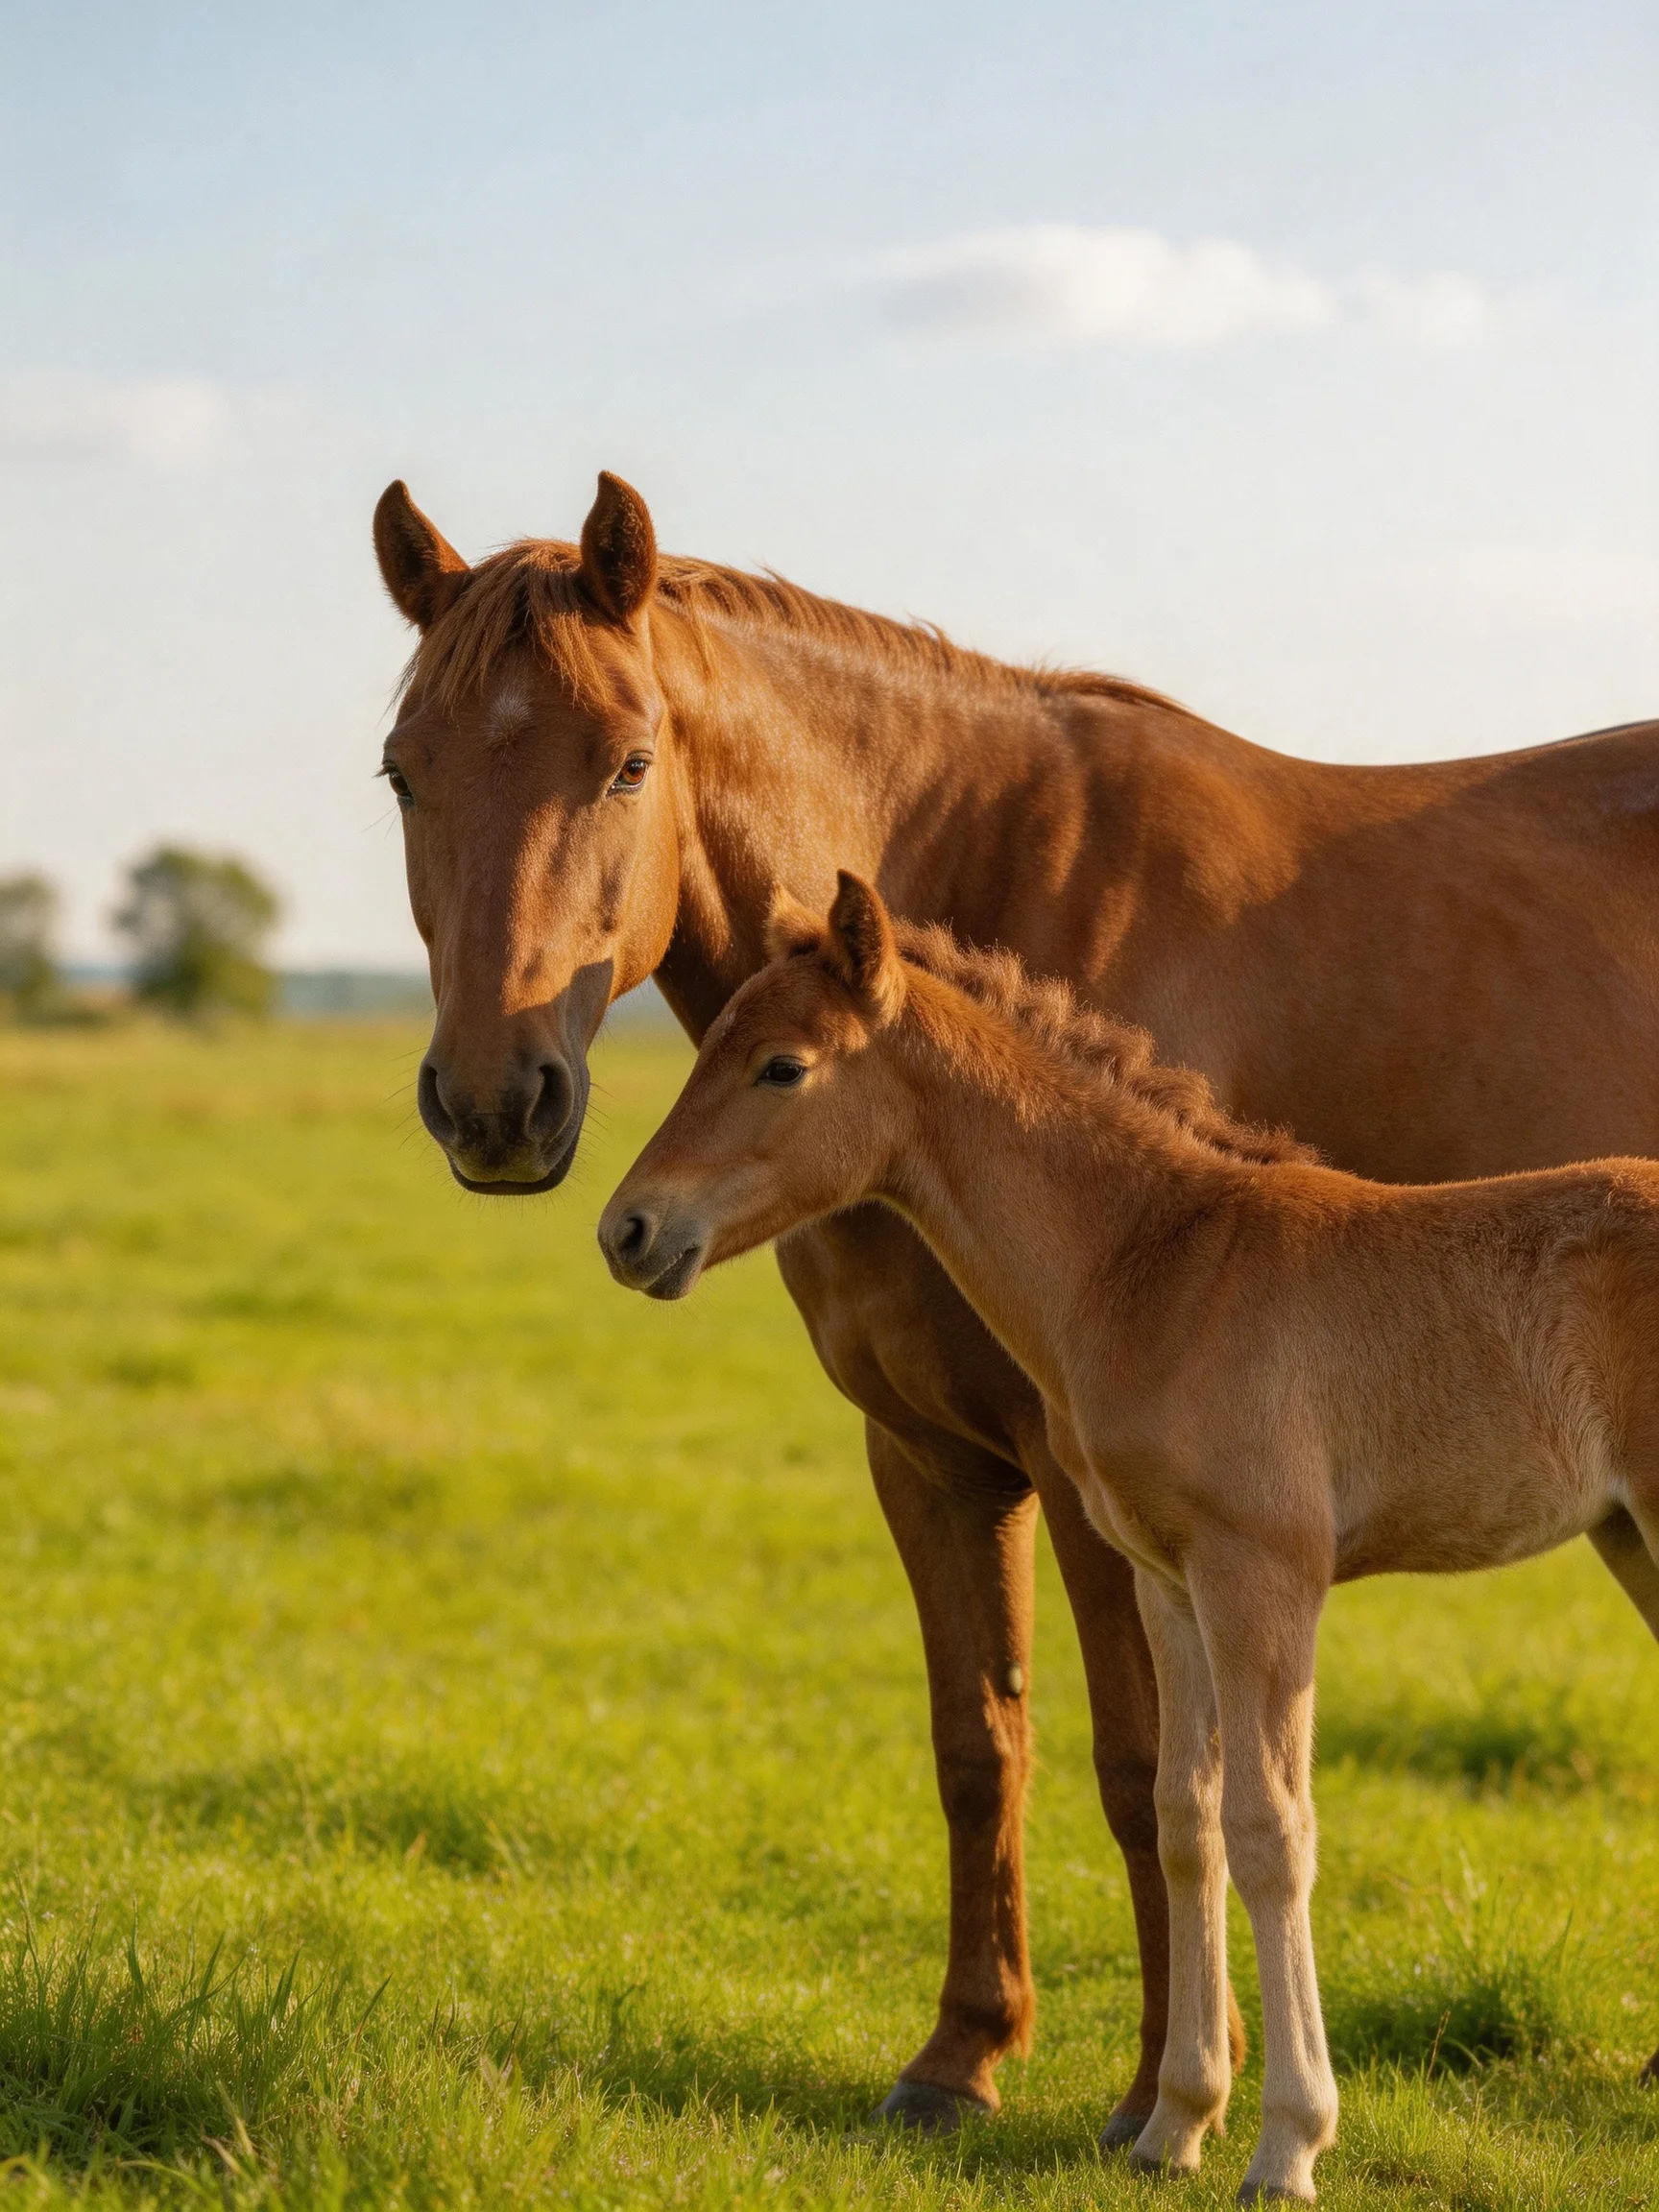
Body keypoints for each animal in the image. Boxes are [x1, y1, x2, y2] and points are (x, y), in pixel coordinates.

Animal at [599, 871, 1659, 2201]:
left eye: (782, 1067)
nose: (629, 1230)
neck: (1160, 1262)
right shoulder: (1169, 1580)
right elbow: (1182, 1815)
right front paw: (1174, 2128)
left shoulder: (1266, 1577)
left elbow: (1270, 1828)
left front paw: (1286, 2146)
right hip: (1631, 1540)